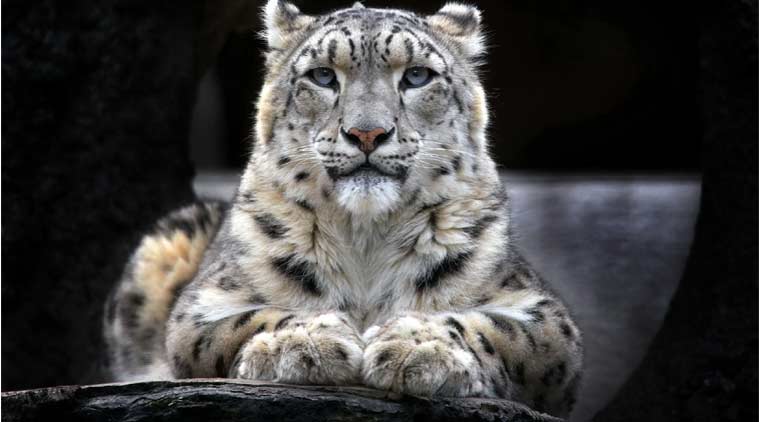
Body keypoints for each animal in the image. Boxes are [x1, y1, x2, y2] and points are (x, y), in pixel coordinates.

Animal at [103, 1, 583, 417]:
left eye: (417, 76)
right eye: (322, 76)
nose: (367, 133)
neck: (366, 238)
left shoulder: (544, 314)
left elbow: (494, 328)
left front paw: (418, 346)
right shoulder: (203, 305)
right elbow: (248, 320)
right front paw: (302, 343)